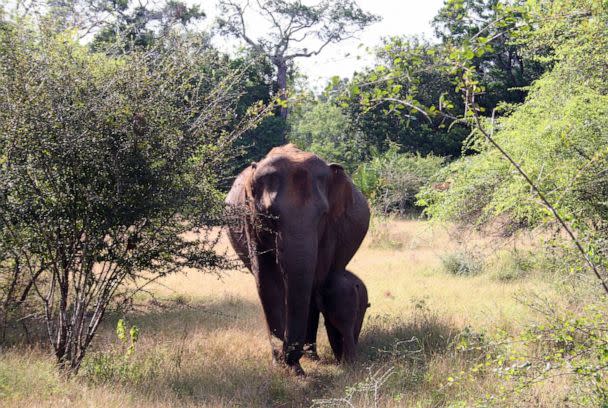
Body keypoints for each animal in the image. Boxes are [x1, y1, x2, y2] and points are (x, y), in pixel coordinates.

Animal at [226, 144, 368, 376]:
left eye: (323, 214)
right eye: (270, 216)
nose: (288, 359)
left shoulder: (330, 231)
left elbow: (313, 283)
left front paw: (296, 365)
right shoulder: (250, 220)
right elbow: (266, 281)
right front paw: (282, 366)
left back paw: (312, 356)